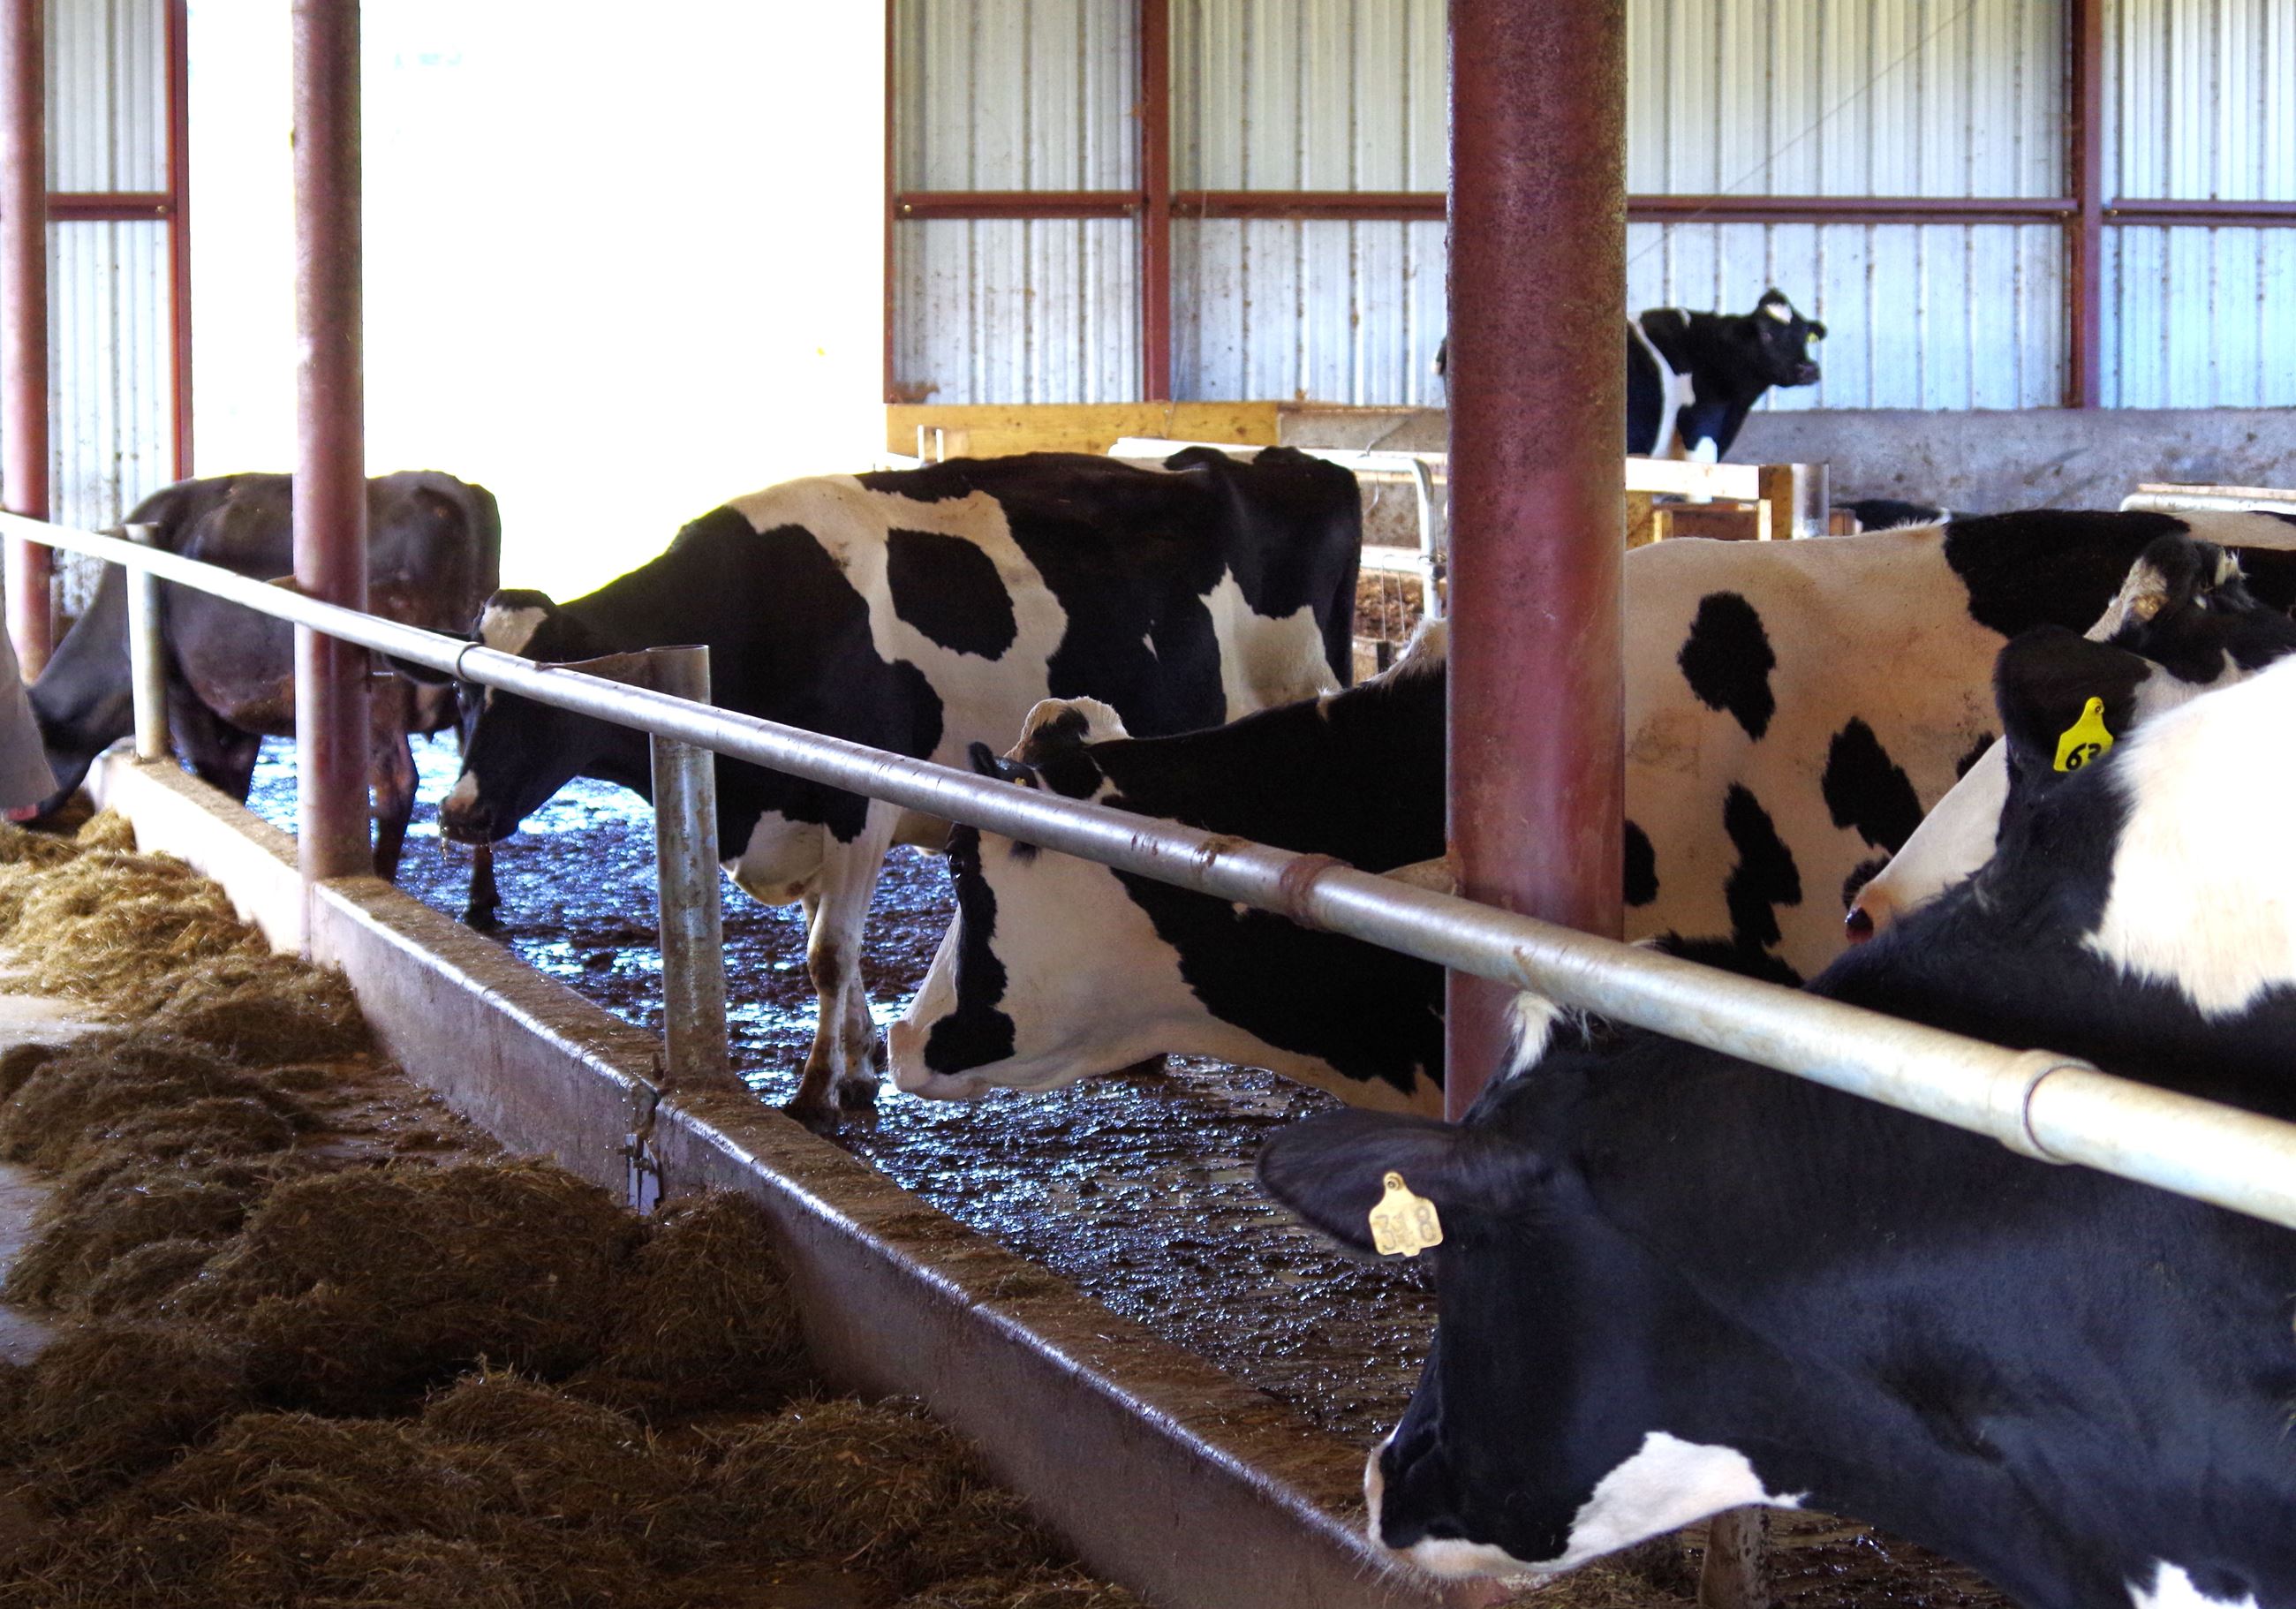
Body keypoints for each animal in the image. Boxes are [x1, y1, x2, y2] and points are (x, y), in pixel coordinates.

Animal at [23, 471, 501, 880]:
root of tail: (451, 489)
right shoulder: (240, 708)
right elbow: (237, 778)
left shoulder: (182, 696)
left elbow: (212, 773)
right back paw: (480, 905)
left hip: (380, 693)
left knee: (398, 784)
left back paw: (384, 874)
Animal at [426, 448, 1363, 1127]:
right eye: (467, 692)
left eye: (538, 696)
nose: (460, 813)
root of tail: (1273, 459)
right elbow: (827, 943)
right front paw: (861, 1065)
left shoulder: (857, 797)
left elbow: (828, 952)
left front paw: (818, 1092)